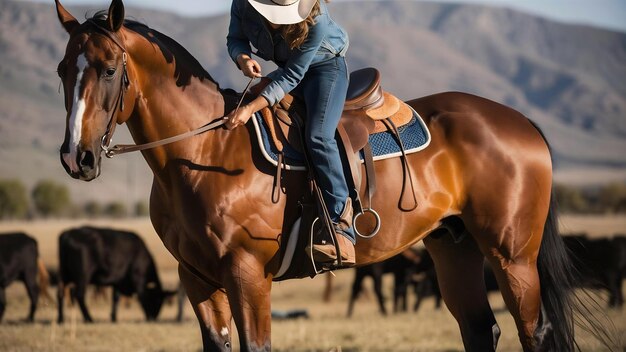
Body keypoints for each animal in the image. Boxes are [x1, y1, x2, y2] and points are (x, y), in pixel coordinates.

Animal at [56, 0, 596, 350]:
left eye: (109, 69)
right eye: (63, 70)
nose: (76, 158)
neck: (204, 149)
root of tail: (520, 122)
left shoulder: (247, 274)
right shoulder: (197, 278)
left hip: (512, 256)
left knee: (535, 332)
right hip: (454, 246)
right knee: (480, 330)